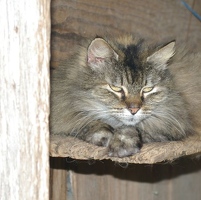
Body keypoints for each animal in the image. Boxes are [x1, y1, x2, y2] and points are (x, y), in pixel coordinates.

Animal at [49, 35, 201, 158]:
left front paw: (122, 144)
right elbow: (87, 121)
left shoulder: (169, 127)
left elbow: (133, 128)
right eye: (116, 88)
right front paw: (102, 134)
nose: (134, 110)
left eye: (147, 89)